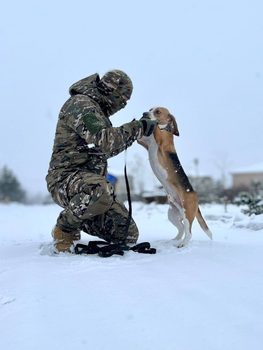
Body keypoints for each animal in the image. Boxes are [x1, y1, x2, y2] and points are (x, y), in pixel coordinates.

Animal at [139, 106, 213, 246]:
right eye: (150, 109)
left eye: (157, 111)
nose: (144, 113)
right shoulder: (144, 142)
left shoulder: (161, 138)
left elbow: (156, 128)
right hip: (173, 215)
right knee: (181, 228)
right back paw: (175, 239)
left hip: (187, 212)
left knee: (188, 232)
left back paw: (182, 244)